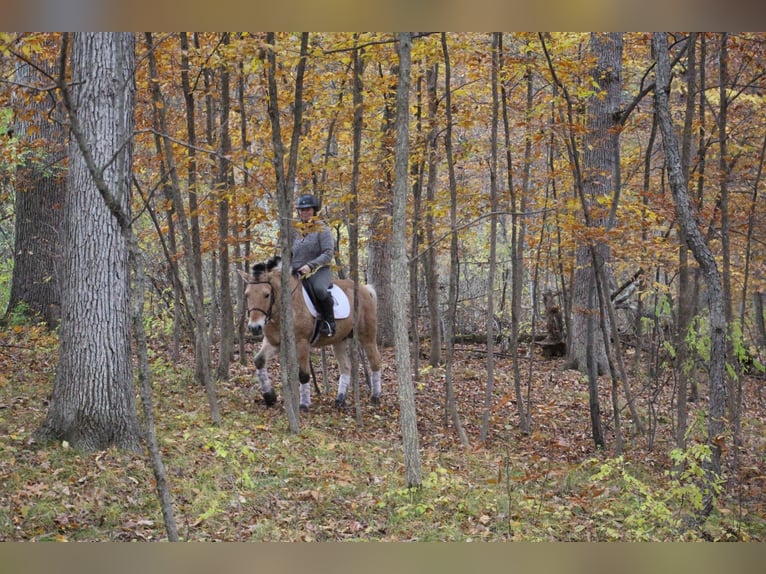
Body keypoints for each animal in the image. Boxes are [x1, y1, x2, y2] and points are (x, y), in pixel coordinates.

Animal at [237, 258, 384, 414]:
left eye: (266, 294)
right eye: (247, 295)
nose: (254, 327)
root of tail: (365, 289)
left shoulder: (302, 343)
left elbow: (303, 374)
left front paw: (304, 404)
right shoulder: (273, 343)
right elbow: (259, 360)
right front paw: (269, 396)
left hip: (366, 336)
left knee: (375, 361)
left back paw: (375, 397)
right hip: (339, 340)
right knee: (345, 367)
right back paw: (340, 400)